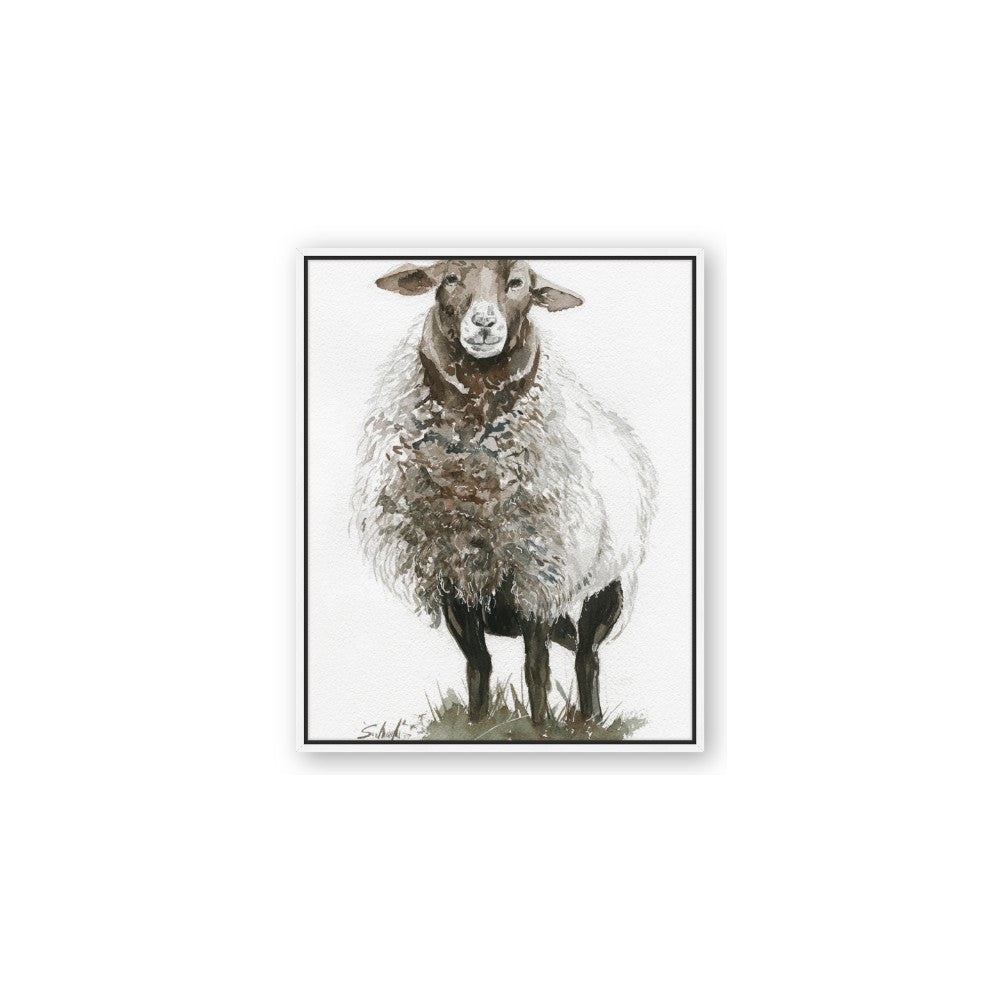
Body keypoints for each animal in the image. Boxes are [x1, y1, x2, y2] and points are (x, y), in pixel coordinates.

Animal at [353, 259, 657, 726]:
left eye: (518, 284)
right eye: (449, 279)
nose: (483, 323)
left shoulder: (539, 576)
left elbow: (536, 668)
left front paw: (541, 728)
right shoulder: (454, 579)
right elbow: (478, 664)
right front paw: (477, 724)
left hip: (606, 585)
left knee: (587, 654)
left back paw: (589, 720)